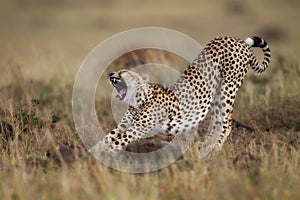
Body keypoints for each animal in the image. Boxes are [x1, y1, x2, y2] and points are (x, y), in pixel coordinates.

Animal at [90, 35, 270, 159]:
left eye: (123, 72)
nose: (111, 74)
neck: (137, 99)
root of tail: (237, 40)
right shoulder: (124, 125)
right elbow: (108, 137)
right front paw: (92, 151)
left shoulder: (137, 129)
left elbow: (118, 141)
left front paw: (102, 154)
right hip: (216, 95)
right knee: (218, 122)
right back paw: (205, 146)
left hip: (227, 90)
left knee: (226, 124)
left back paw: (214, 149)